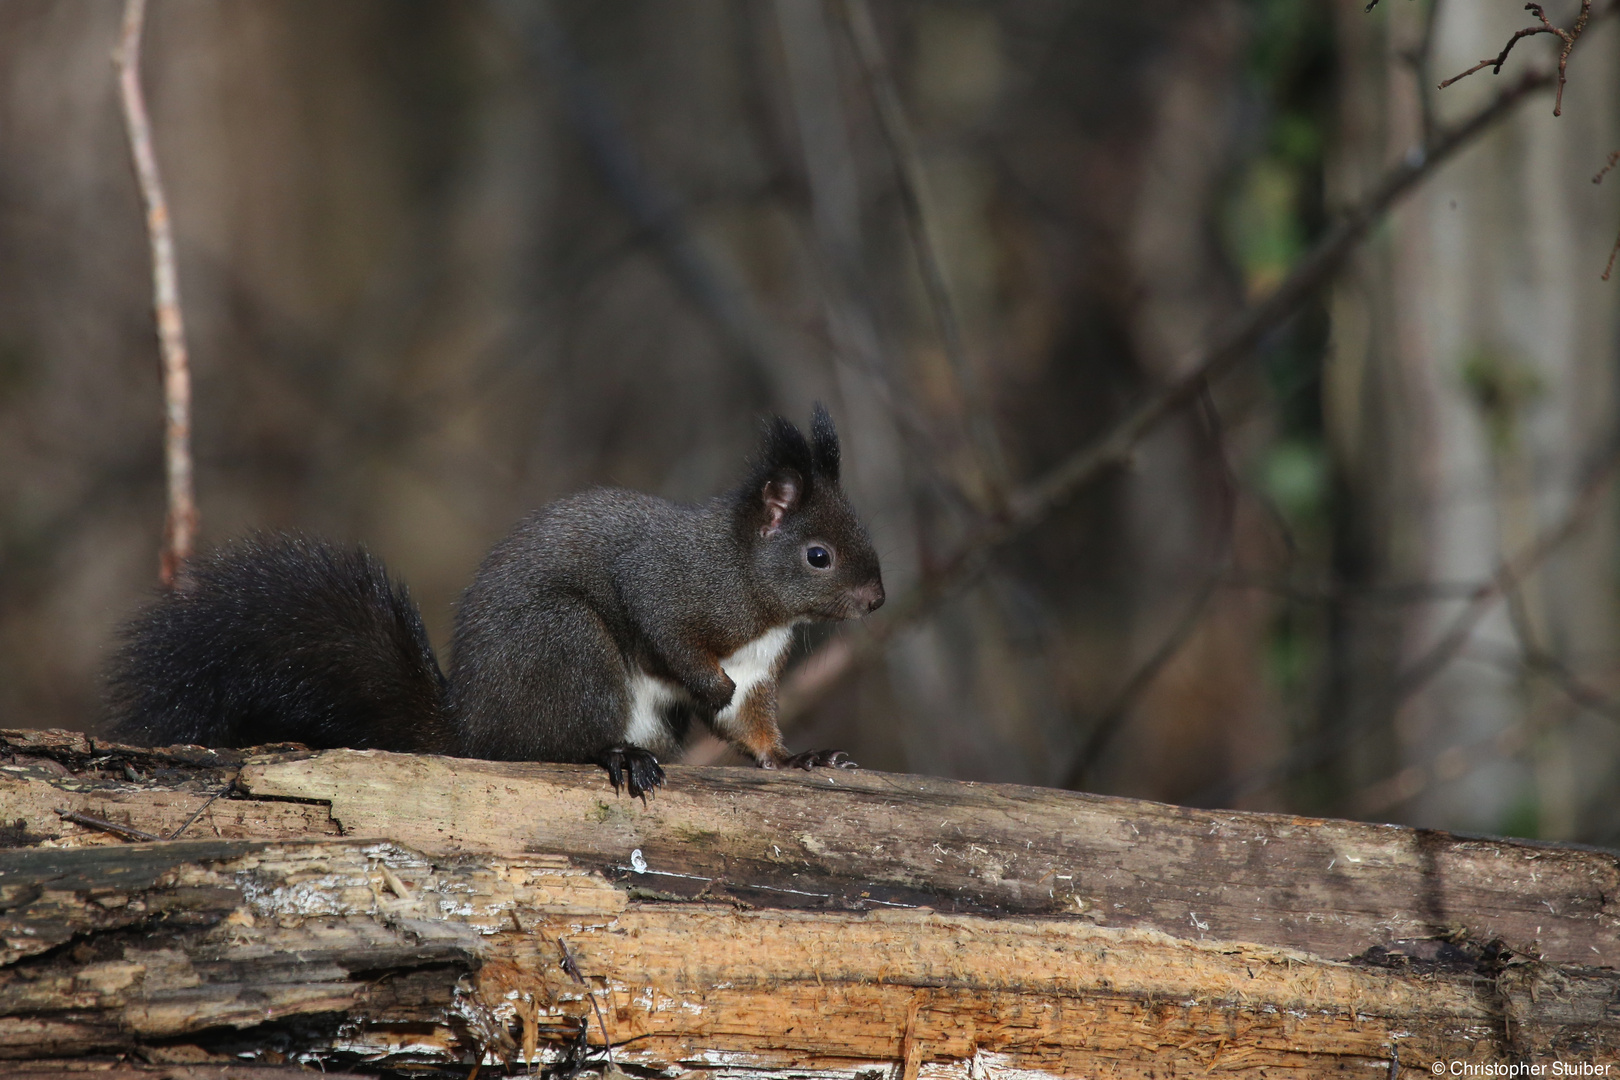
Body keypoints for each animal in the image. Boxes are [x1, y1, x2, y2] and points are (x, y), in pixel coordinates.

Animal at [107, 404, 887, 793]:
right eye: (819, 556)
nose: (876, 600)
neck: (758, 593)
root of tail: (471, 729)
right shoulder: (671, 585)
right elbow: (668, 633)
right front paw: (708, 682)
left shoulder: (758, 673)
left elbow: (751, 729)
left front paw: (800, 759)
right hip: (567, 644)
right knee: (545, 748)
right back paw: (616, 756)